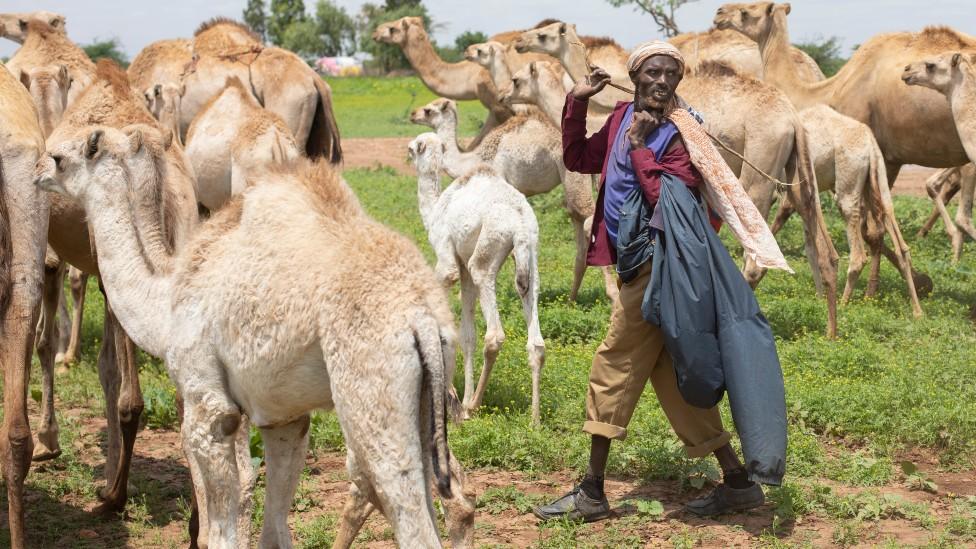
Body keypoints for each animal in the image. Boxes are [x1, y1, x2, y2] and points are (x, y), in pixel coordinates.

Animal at [36, 126, 478, 548]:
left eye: (59, 157)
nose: (38, 171)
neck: (165, 299)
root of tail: (422, 318)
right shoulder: (283, 418)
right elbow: (276, 531)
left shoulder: (209, 406)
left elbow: (221, 531)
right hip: (428, 394)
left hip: (370, 394)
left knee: (403, 508)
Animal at [408, 133, 544, 424]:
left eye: (413, 147)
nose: (406, 152)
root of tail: (519, 225)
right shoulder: (463, 266)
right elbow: (467, 335)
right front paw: (460, 395)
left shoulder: (448, 255)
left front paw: (456, 399)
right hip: (529, 257)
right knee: (536, 341)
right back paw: (535, 419)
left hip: (486, 253)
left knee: (494, 336)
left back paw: (473, 405)